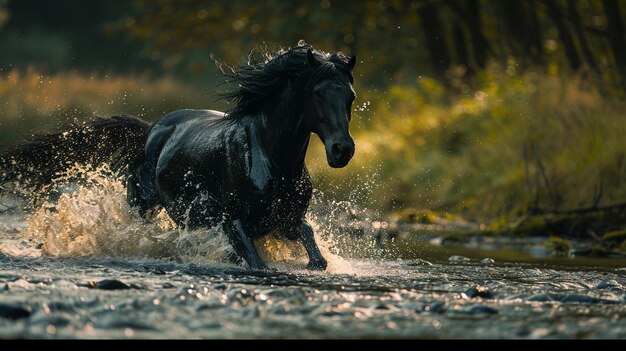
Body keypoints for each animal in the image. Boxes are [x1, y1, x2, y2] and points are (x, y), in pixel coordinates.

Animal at [0, 42, 356, 270]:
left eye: (350, 95)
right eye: (317, 92)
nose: (343, 150)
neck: (269, 158)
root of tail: (151, 130)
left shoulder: (287, 222)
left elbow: (315, 253)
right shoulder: (233, 222)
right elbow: (258, 264)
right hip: (141, 205)